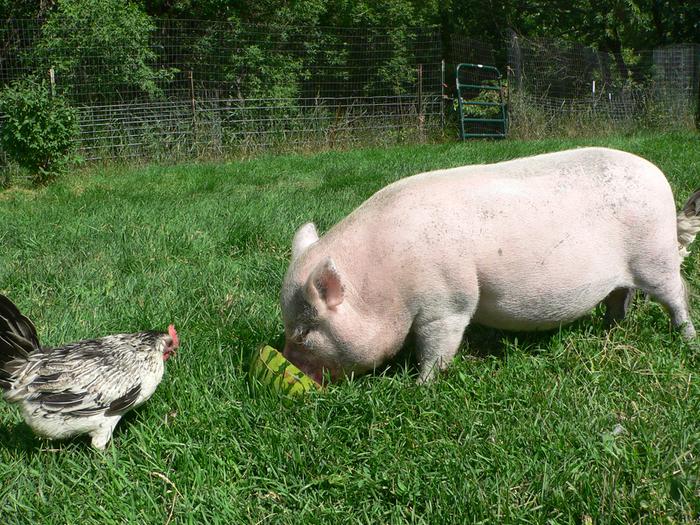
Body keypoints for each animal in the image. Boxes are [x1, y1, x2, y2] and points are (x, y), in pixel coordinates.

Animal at [280, 145, 700, 382]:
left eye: (303, 333)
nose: (287, 367)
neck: (383, 285)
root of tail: (660, 178)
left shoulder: (447, 304)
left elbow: (436, 350)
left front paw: (420, 387)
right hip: (628, 271)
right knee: (621, 297)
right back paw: (611, 331)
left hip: (656, 259)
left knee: (678, 294)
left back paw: (687, 340)